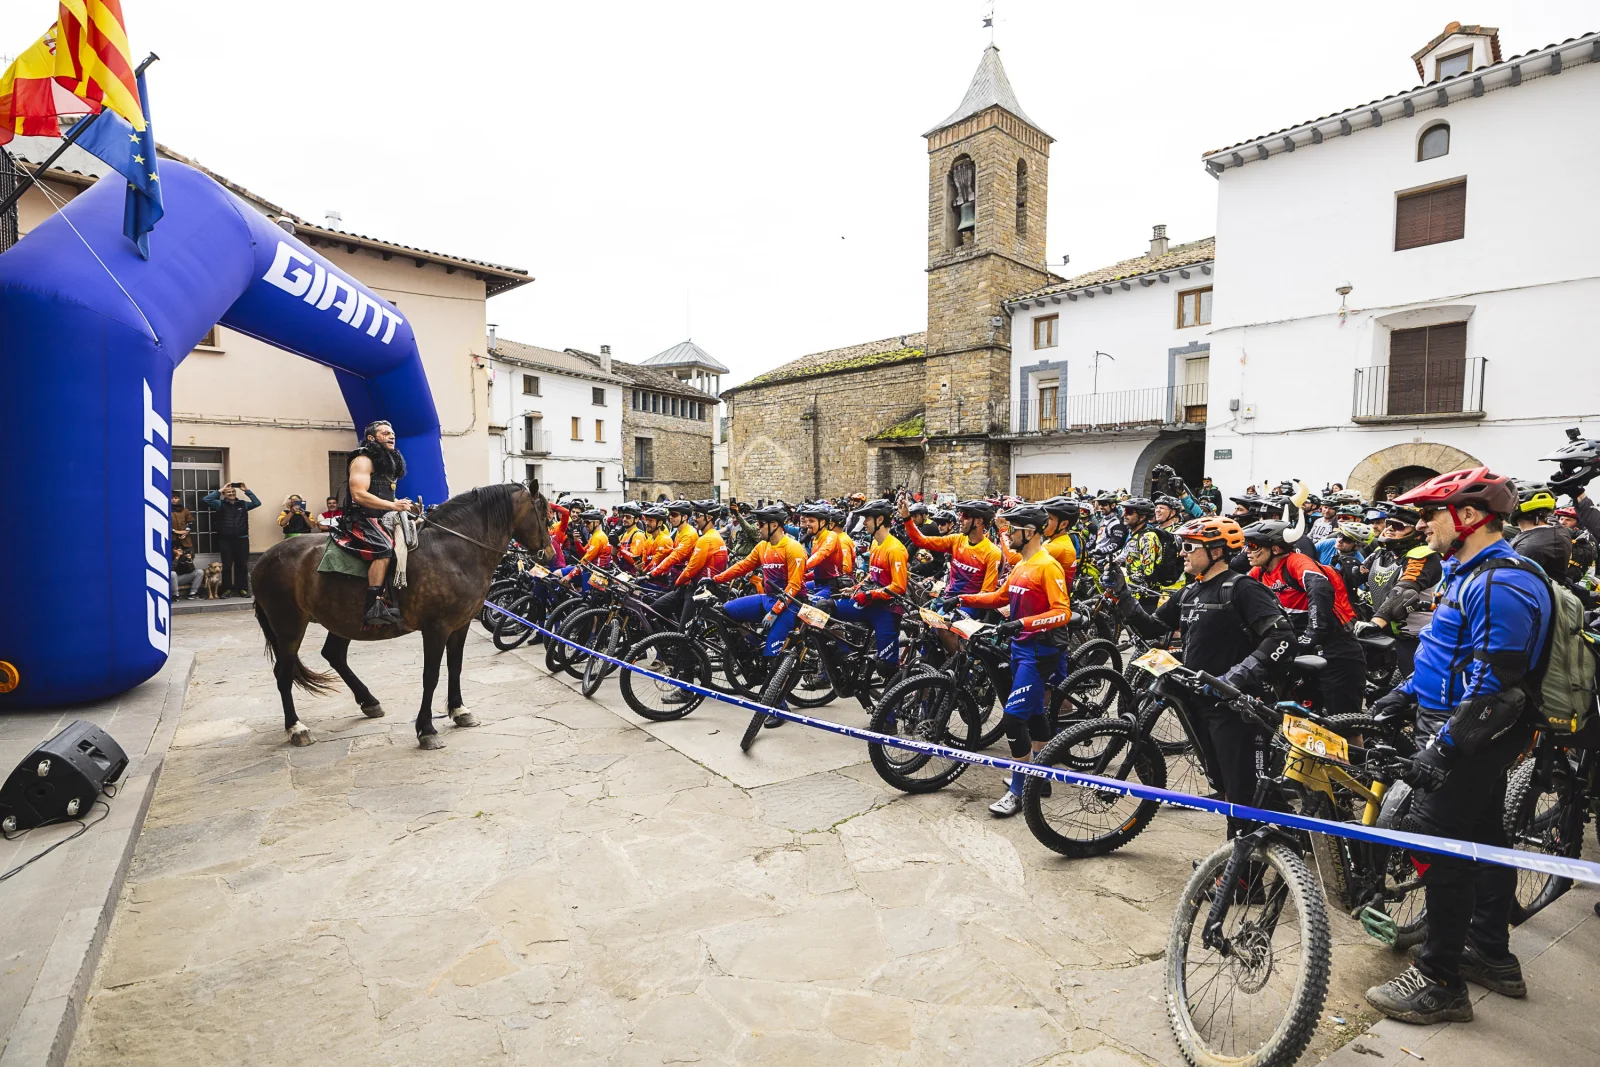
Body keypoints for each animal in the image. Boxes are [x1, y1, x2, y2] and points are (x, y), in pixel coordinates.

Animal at [249, 483, 550, 751]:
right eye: (545, 513)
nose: (548, 552)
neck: (453, 551)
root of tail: (263, 560)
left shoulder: (460, 625)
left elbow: (455, 667)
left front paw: (459, 710)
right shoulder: (436, 628)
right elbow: (431, 676)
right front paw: (426, 730)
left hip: (343, 620)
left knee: (333, 654)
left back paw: (368, 701)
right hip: (289, 625)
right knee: (284, 672)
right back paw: (296, 727)